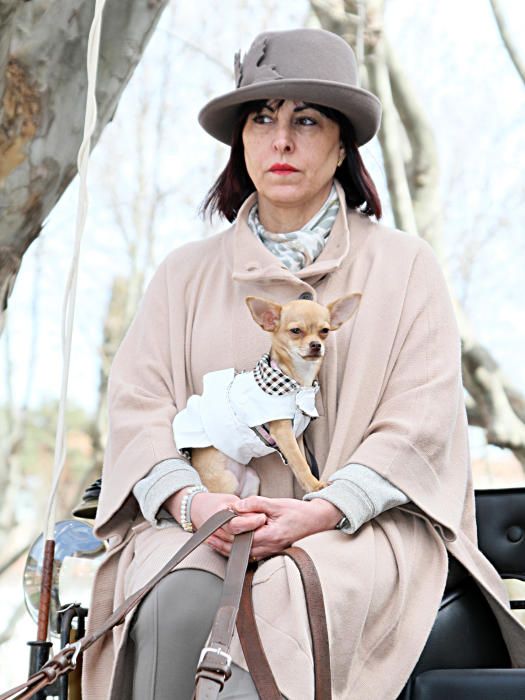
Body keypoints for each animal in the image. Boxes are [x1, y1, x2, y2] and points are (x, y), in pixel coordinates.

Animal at [173, 292, 360, 494]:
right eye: (296, 331)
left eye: (324, 330)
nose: (316, 345)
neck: (297, 383)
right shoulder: (283, 432)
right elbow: (300, 463)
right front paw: (315, 485)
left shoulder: (295, 436)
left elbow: (300, 460)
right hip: (225, 483)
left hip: (252, 479)